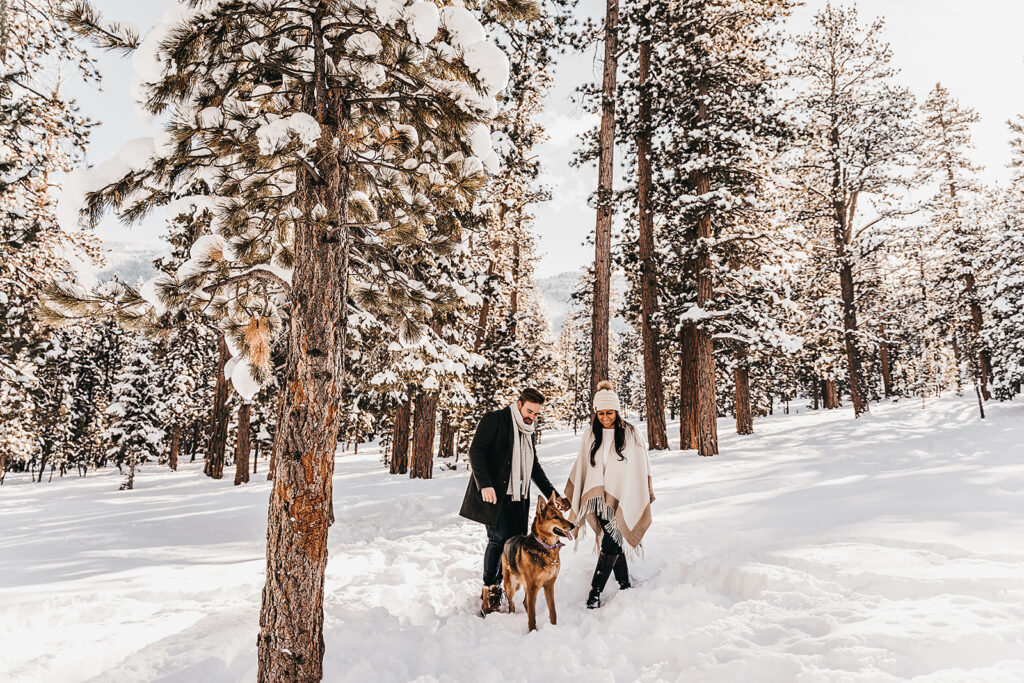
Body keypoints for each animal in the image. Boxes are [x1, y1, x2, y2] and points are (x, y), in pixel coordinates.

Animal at [503, 491, 577, 630]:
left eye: (562, 515)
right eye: (555, 517)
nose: (573, 525)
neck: (545, 547)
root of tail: (508, 539)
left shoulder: (549, 585)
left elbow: (552, 610)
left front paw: (554, 627)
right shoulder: (532, 586)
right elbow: (532, 615)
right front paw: (532, 631)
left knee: (525, 602)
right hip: (511, 585)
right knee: (512, 603)